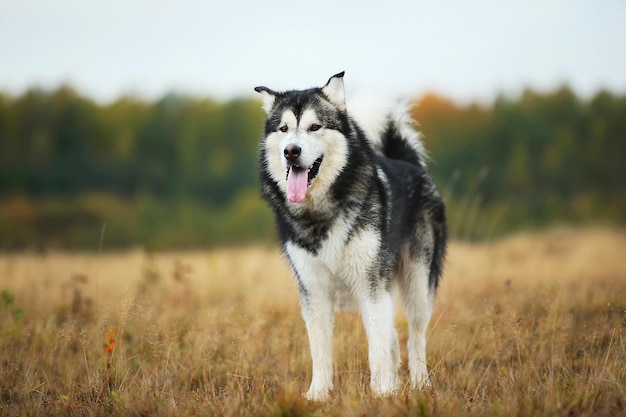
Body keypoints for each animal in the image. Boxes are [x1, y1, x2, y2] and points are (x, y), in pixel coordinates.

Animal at [252, 72, 444, 400]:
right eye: (284, 129)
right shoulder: (313, 290)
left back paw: (419, 383)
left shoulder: (371, 284)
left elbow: (377, 348)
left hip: (417, 284)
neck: (321, 212)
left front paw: (381, 393)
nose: (291, 151)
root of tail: (409, 163)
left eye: (315, 127)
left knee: (415, 337)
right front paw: (318, 394)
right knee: (394, 339)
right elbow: (320, 351)